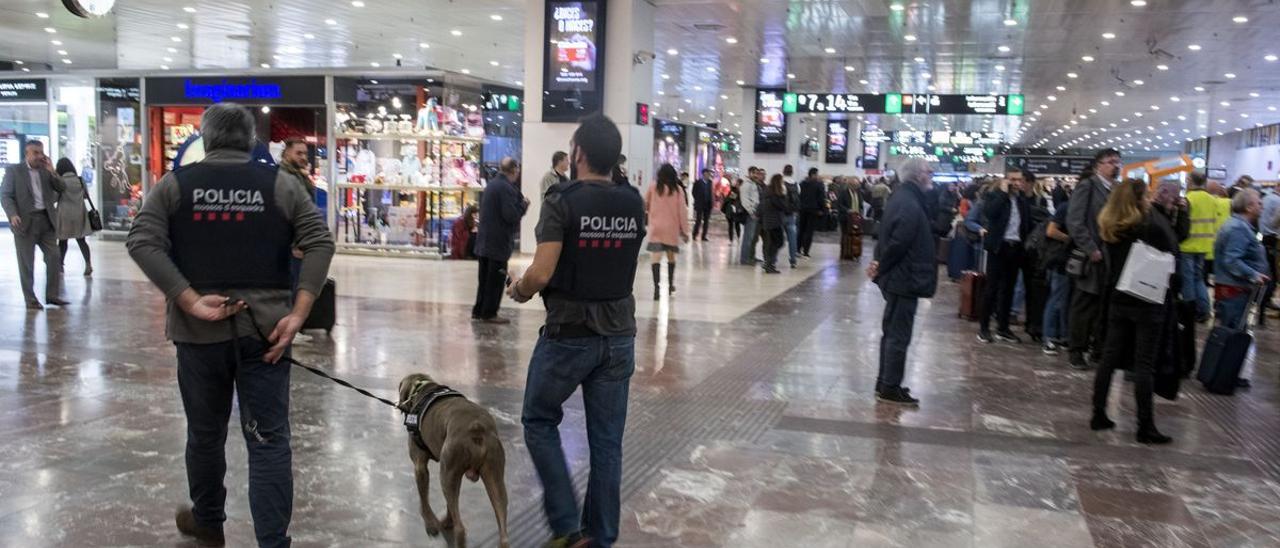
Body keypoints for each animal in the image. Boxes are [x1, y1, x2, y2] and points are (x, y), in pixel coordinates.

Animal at [396, 371, 506, 548]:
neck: (422, 387)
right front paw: (444, 520)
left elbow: (424, 499)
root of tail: (477, 428)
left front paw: (430, 523)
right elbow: (448, 504)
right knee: (502, 529)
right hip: (493, 477)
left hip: (447, 473)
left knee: (460, 529)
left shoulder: (420, 467)